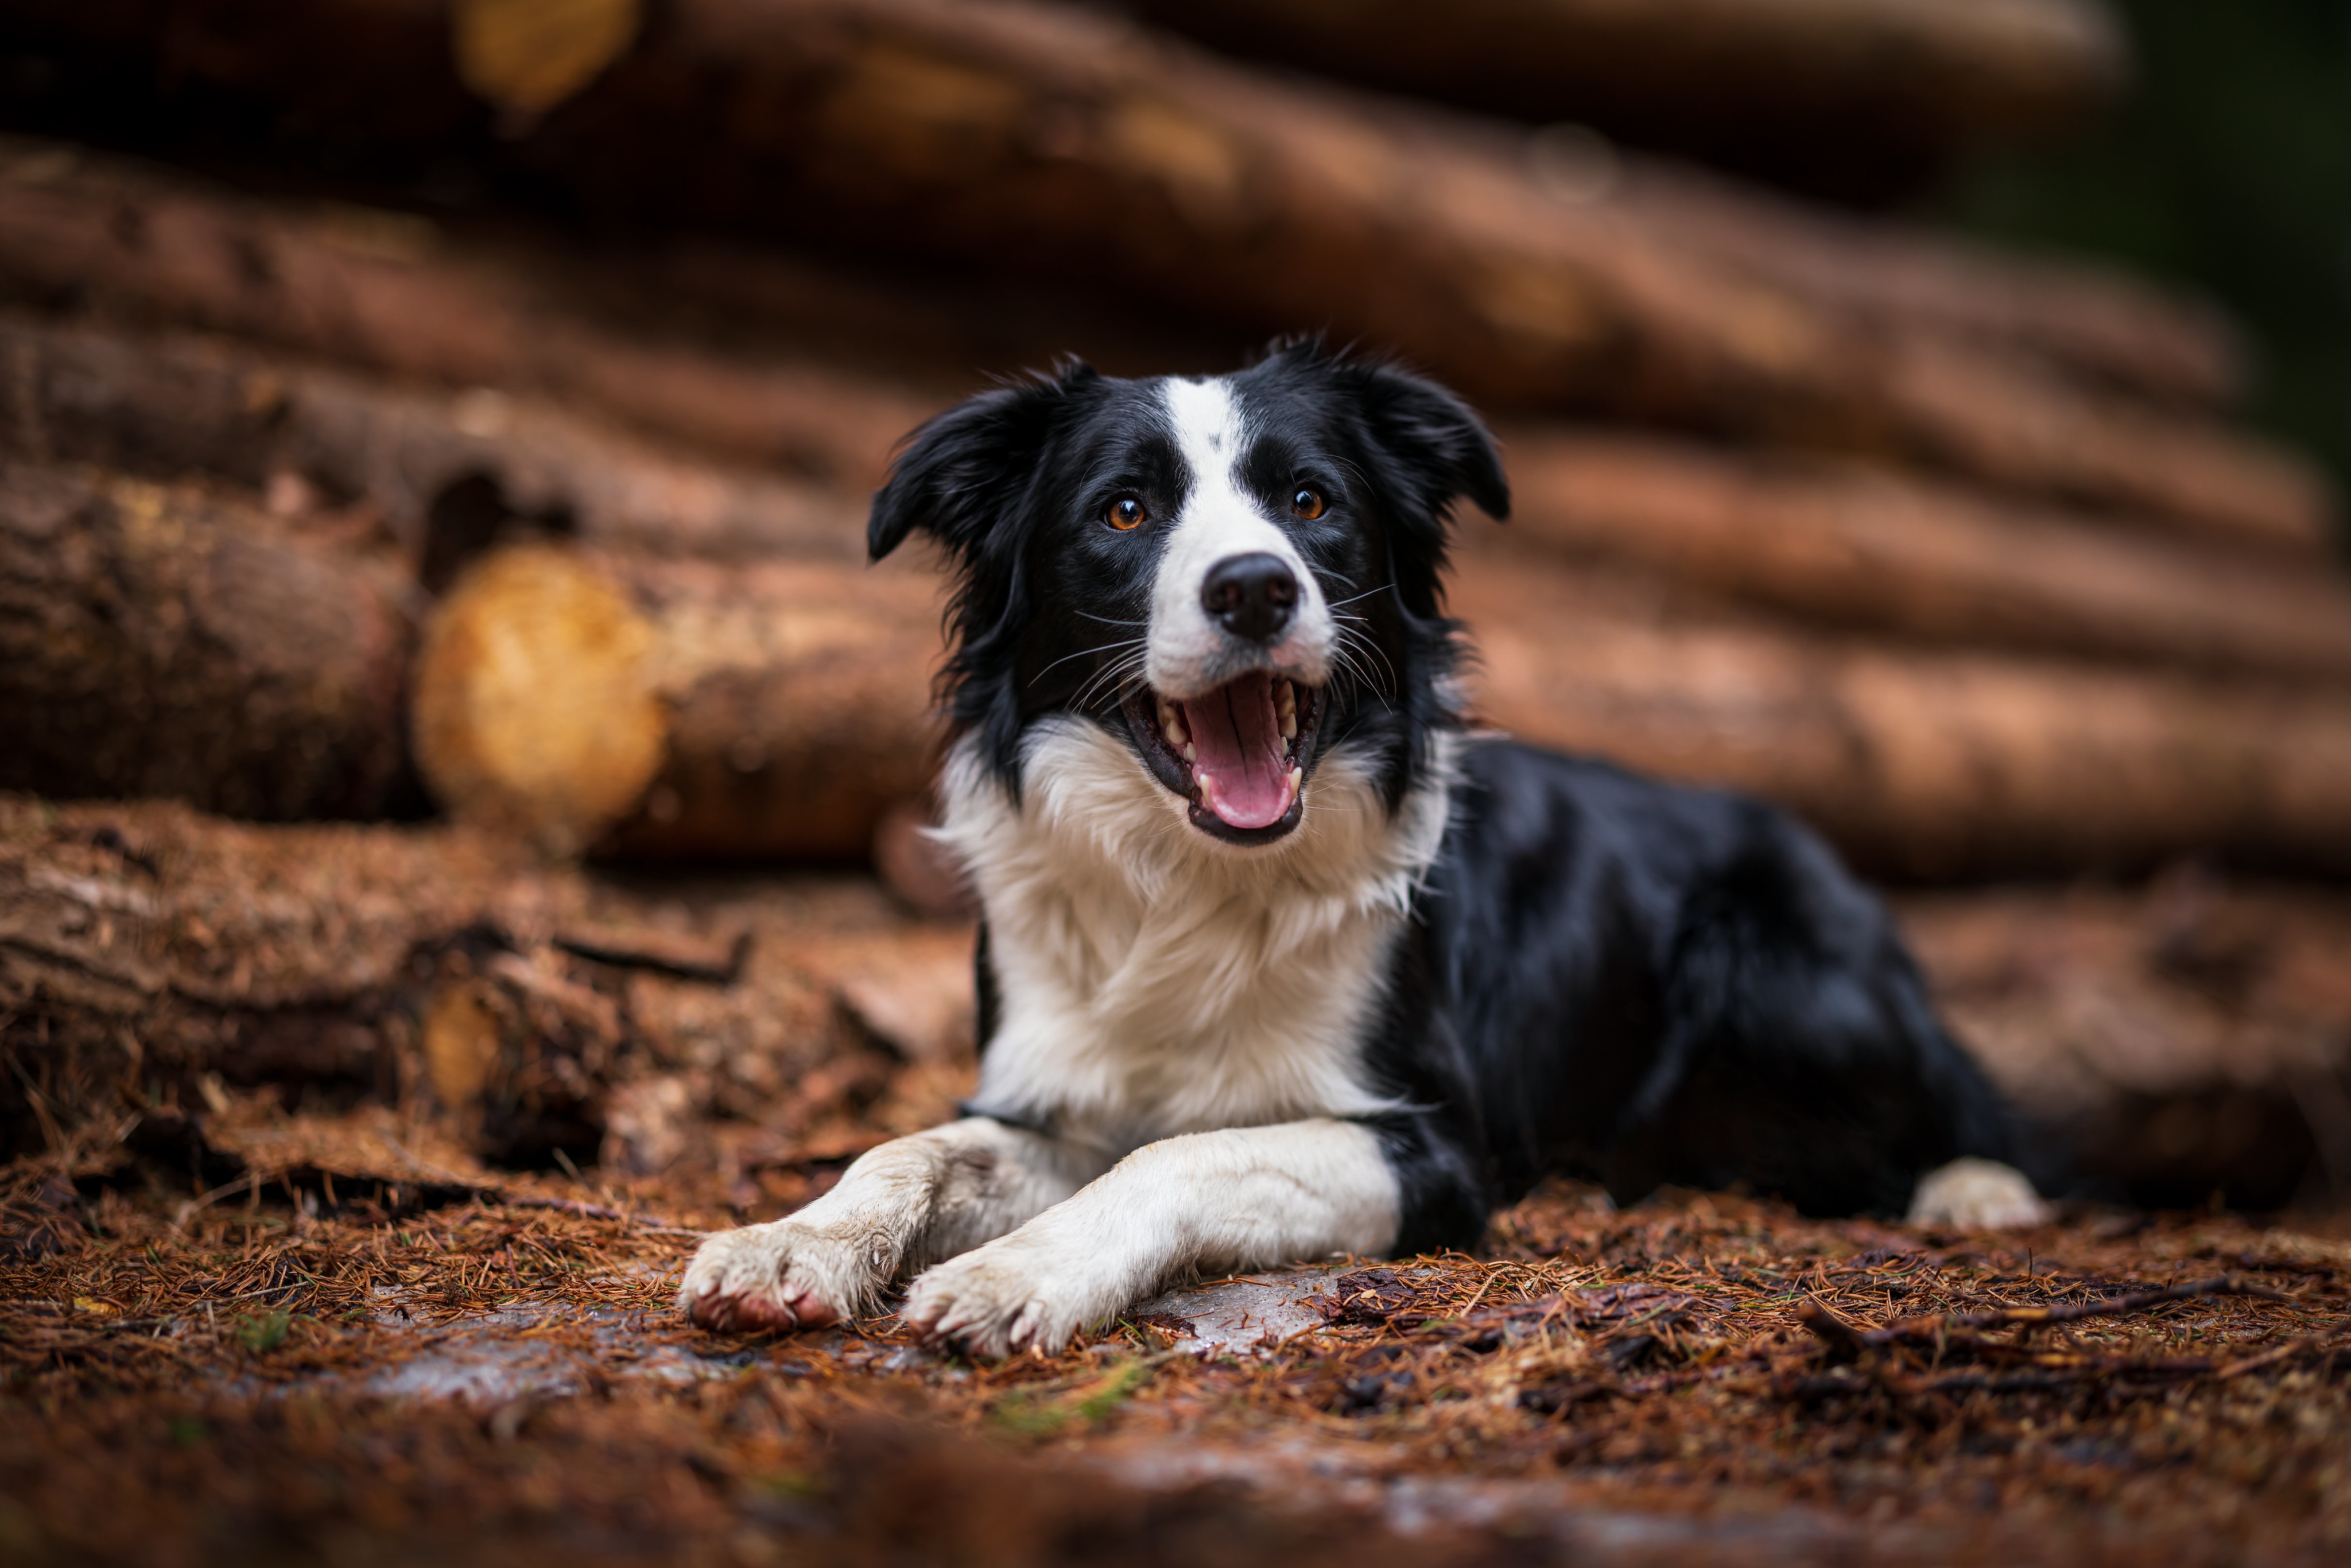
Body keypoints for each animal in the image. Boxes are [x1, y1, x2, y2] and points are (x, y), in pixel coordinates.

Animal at [677, 346, 2040, 1363]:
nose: (1252, 589)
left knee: (1966, 1109)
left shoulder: (1429, 1145)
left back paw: (1973, 1192)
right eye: (1125, 509)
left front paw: (1025, 1267)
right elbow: (907, 1147)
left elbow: (1184, 1149)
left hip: (1782, 980)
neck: (1195, 879)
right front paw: (789, 1241)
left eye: (1310, 502)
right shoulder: (1051, 1094)